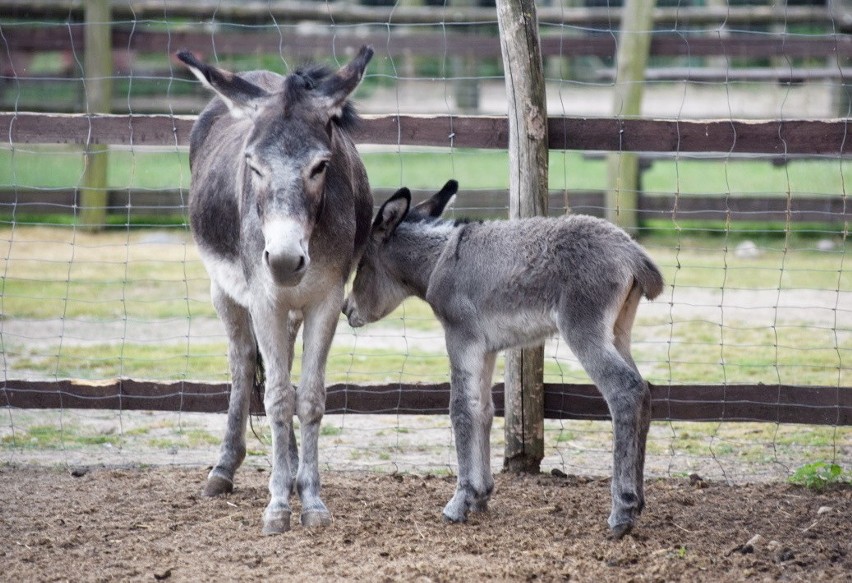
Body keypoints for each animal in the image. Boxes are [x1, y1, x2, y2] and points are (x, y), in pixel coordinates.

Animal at [342, 181, 664, 540]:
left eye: (362, 266)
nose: (345, 309)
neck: (439, 262)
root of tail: (632, 252)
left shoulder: (460, 338)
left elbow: (460, 409)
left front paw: (459, 501)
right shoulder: (486, 348)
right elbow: (482, 410)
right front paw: (480, 496)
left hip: (583, 330)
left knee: (625, 391)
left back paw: (622, 510)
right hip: (619, 331)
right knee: (643, 391)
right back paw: (638, 502)